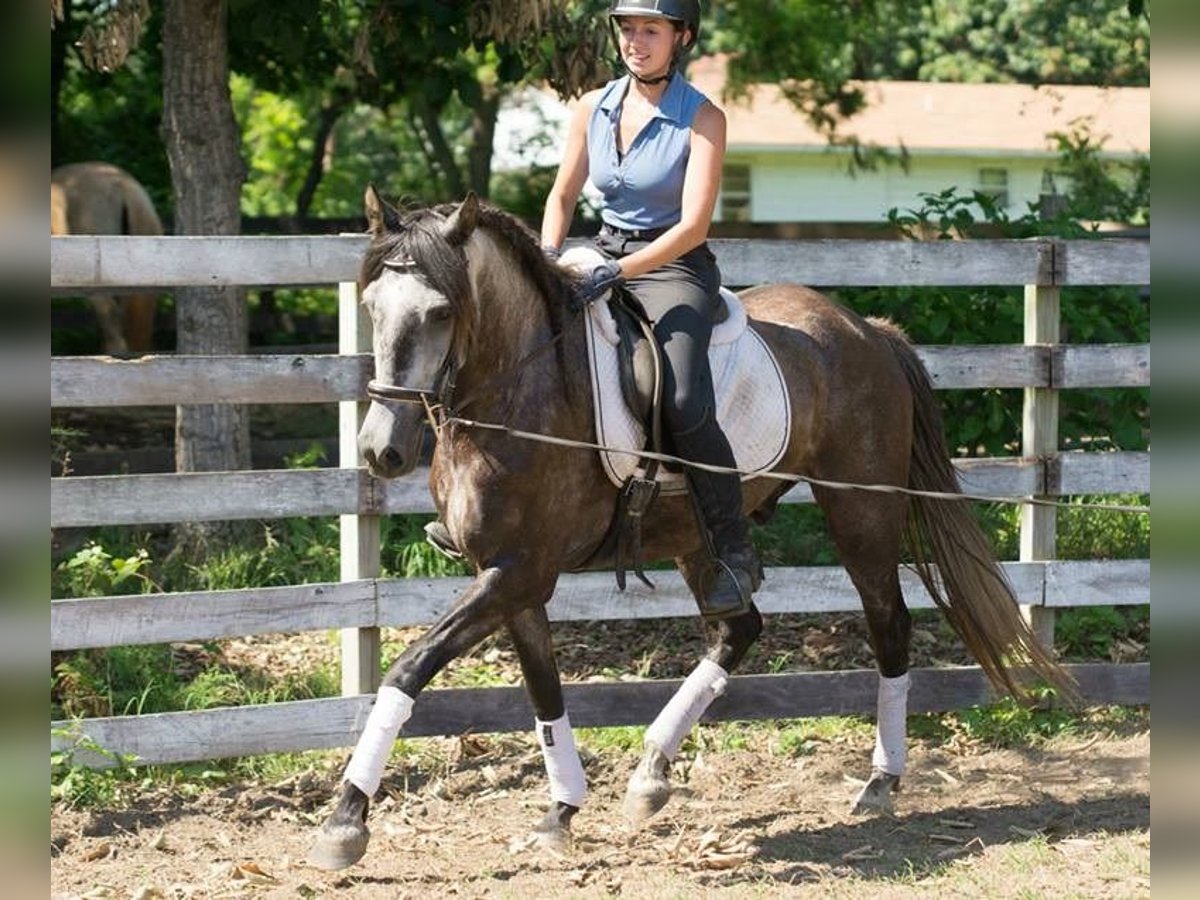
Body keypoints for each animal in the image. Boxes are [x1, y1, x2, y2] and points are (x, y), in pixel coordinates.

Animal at [307, 187, 1070, 868]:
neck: (521, 391)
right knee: (739, 627)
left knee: (888, 625)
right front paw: (561, 812)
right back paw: (651, 773)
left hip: (861, 513)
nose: (381, 451)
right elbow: (543, 689)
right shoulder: (508, 576)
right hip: (697, 537)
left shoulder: (520, 571)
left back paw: (881, 781)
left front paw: (345, 822)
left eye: (440, 312)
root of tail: (867, 329)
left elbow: (410, 667)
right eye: (372, 308)